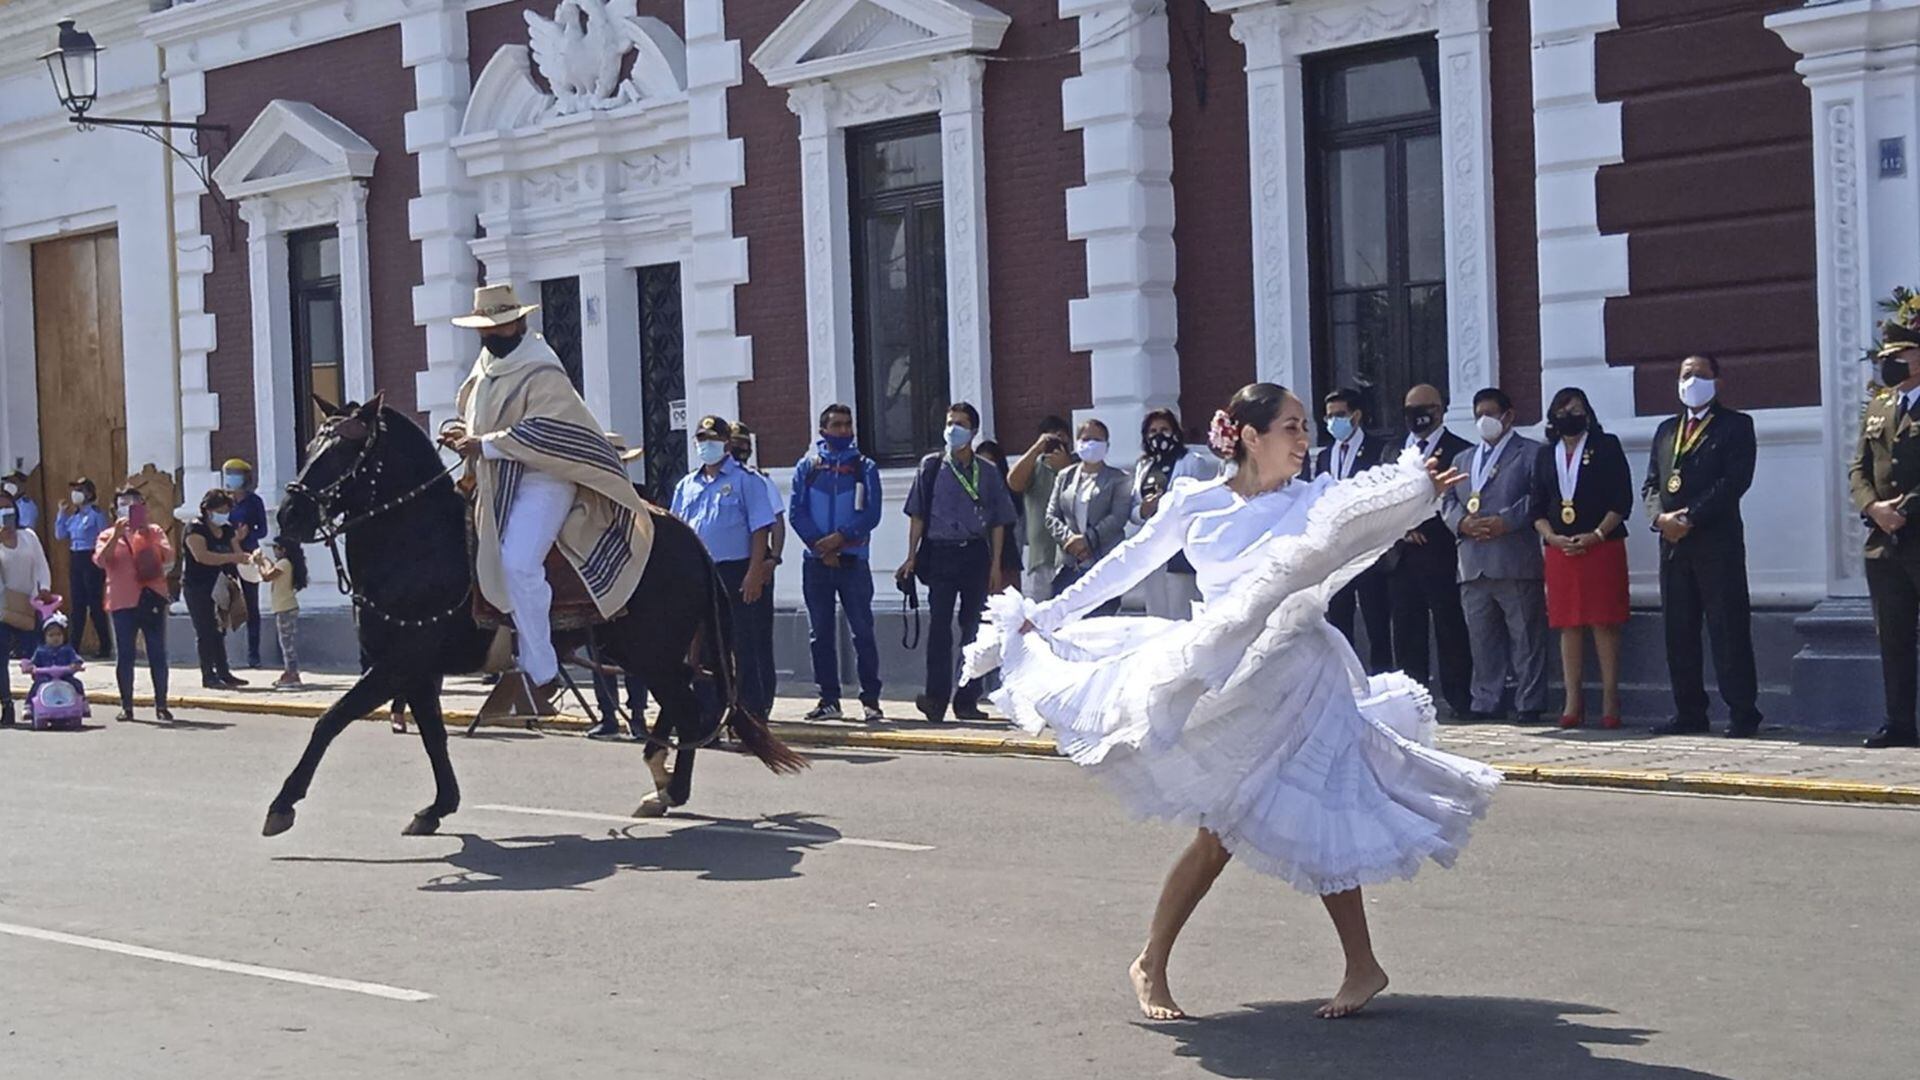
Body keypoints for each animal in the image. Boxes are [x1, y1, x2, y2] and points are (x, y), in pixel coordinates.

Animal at [263, 390, 802, 837]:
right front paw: (438, 807)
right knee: (682, 702)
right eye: (312, 443)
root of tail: (689, 534)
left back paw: (669, 789)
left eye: (344, 449)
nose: (289, 513)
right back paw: (658, 773)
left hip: (651, 650)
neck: (418, 541)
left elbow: (331, 720)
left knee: (690, 711)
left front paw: (282, 804)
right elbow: (434, 737)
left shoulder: (398, 665)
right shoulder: (415, 672)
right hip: (647, 651)